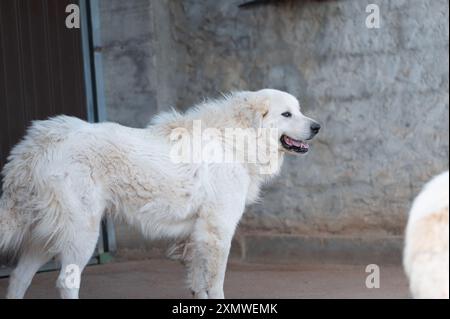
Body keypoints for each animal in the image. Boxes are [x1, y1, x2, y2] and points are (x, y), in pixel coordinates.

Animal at [0, 89, 320, 298]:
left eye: (300, 110)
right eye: (287, 114)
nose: (318, 126)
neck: (235, 139)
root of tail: (40, 141)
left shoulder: (196, 236)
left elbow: (198, 285)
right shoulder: (216, 231)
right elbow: (215, 285)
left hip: (46, 234)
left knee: (18, 278)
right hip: (81, 233)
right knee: (65, 283)